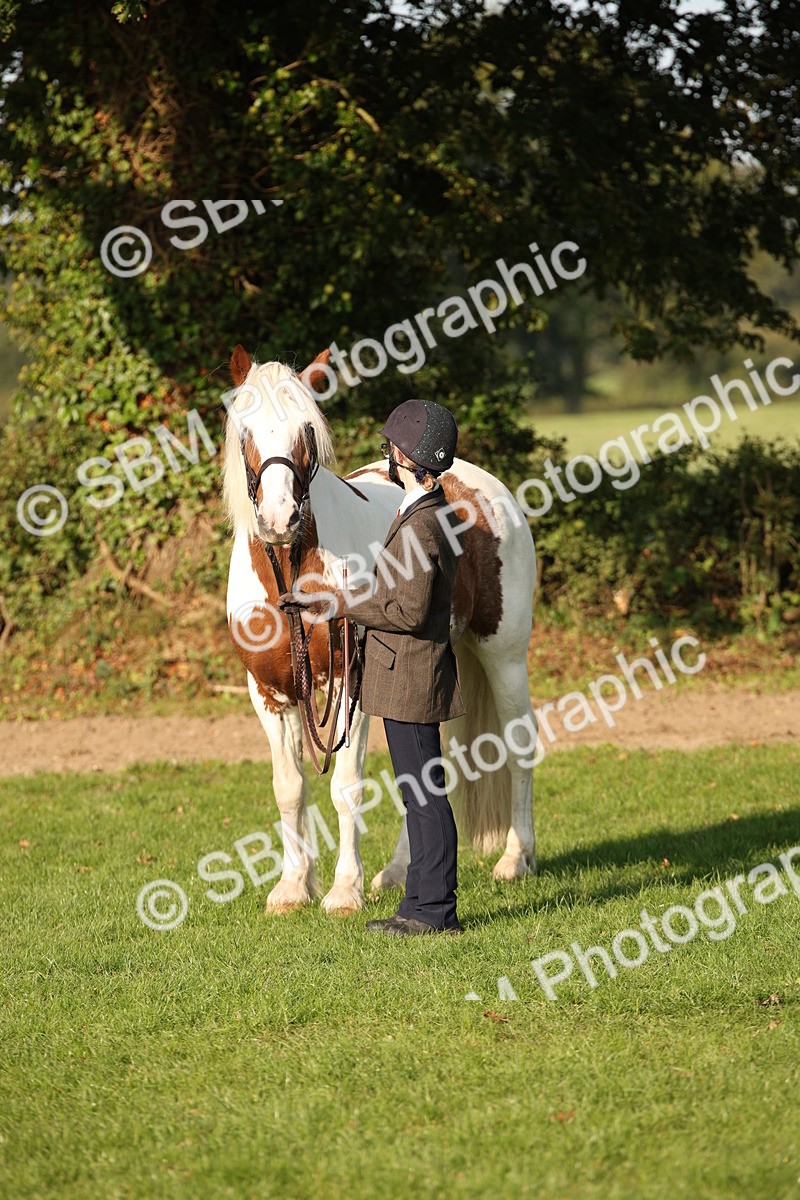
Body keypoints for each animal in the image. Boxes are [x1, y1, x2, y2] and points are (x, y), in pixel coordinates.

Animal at [222, 345, 538, 914]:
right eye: (245, 430)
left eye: (307, 429)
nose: (281, 519)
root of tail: (482, 486)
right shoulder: (268, 693)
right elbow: (289, 787)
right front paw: (293, 886)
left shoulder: (349, 684)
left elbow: (346, 785)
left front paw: (343, 891)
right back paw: (395, 872)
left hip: (504, 654)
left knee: (519, 743)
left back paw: (514, 858)